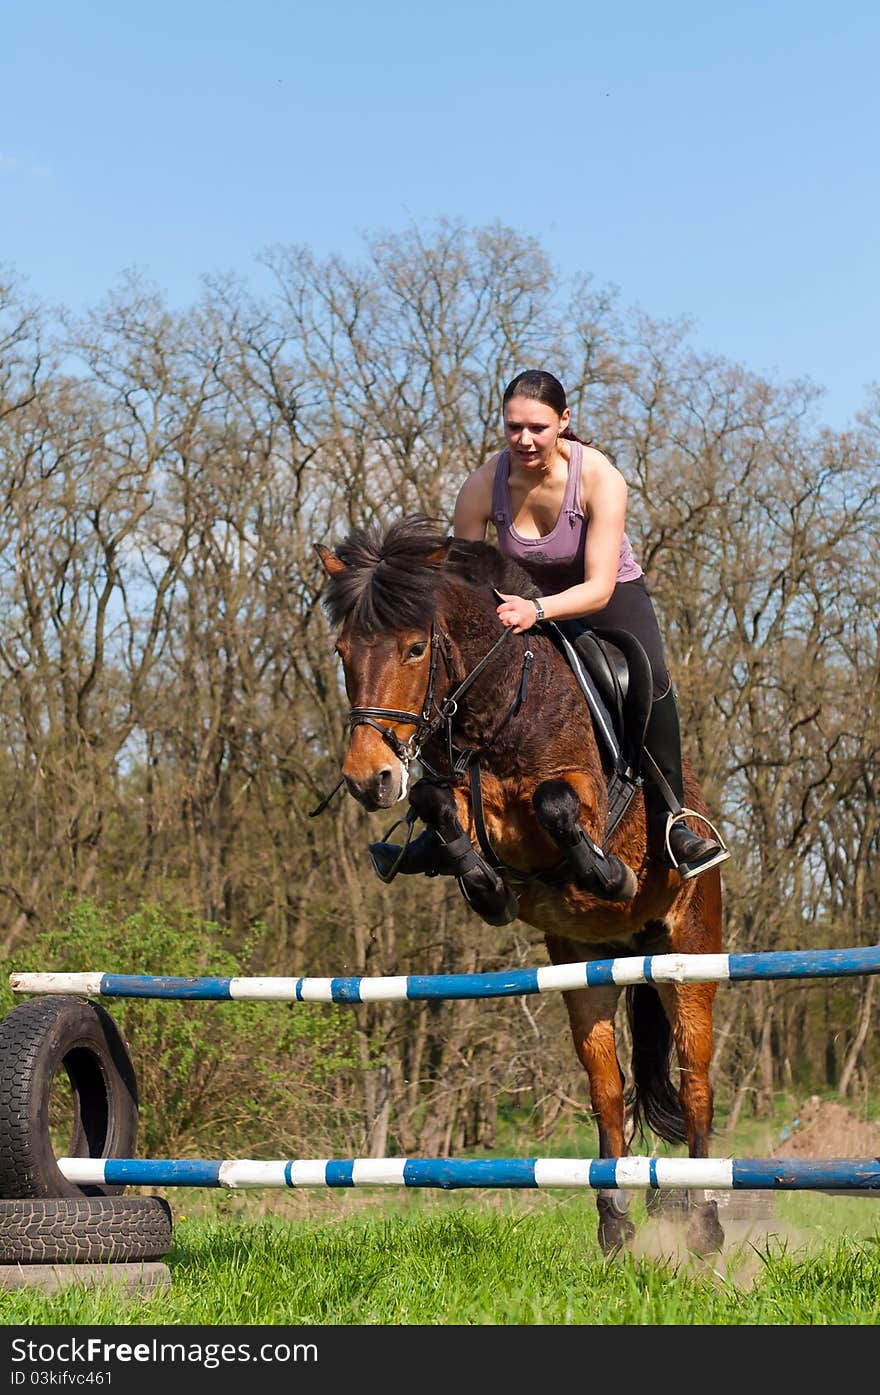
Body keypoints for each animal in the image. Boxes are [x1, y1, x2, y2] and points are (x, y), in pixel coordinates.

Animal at [315, 513, 725, 1255]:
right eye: (342, 650)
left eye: (415, 648)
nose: (368, 779)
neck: (495, 706)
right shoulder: (460, 794)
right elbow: (440, 807)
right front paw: (487, 889)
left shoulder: (583, 789)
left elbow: (557, 803)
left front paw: (606, 871)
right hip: (586, 966)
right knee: (608, 1090)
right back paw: (616, 1223)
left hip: (691, 954)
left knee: (696, 1084)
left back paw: (705, 1223)